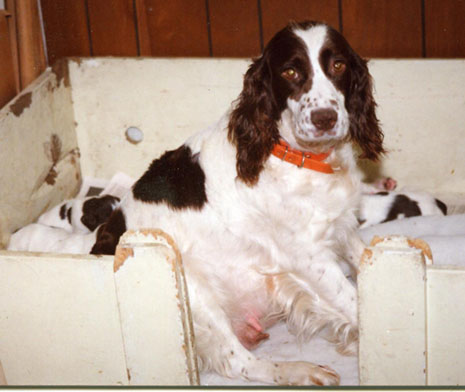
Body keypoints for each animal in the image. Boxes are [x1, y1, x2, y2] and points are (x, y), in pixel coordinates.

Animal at [89, 21, 382, 386]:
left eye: (338, 65)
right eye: (290, 71)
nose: (324, 118)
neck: (297, 157)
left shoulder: (342, 227)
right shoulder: (307, 258)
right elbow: (354, 301)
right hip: (190, 287)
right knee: (239, 362)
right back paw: (300, 370)